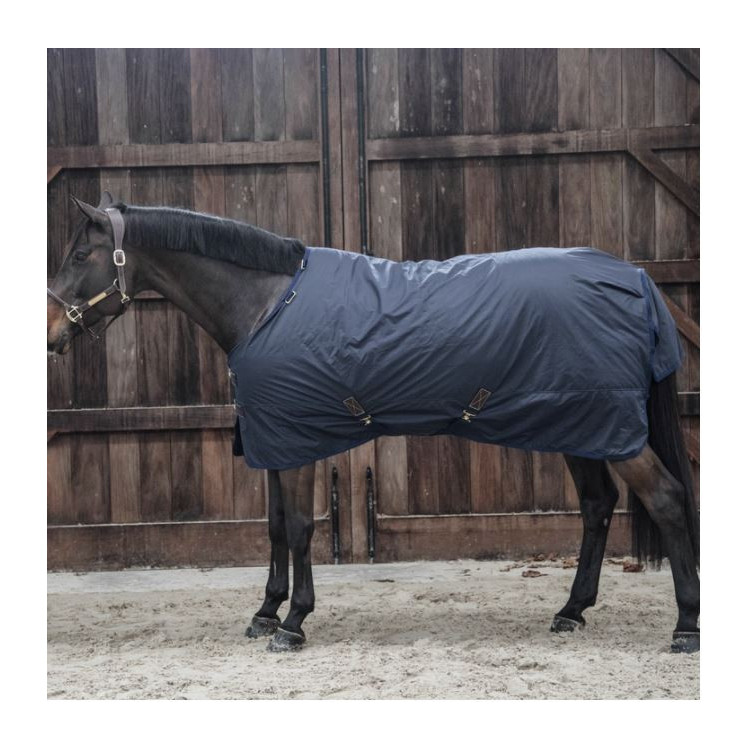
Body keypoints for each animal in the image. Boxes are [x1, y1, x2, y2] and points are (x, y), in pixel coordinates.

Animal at [47, 193, 699, 654]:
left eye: (80, 255)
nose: (51, 335)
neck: (267, 304)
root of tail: (636, 279)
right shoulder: (270, 439)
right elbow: (275, 528)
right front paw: (265, 614)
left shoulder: (297, 440)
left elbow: (300, 528)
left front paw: (293, 623)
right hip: (580, 424)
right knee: (597, 506)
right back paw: (570, 612)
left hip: (609, 428)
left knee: (667, 499)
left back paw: (685, 627)